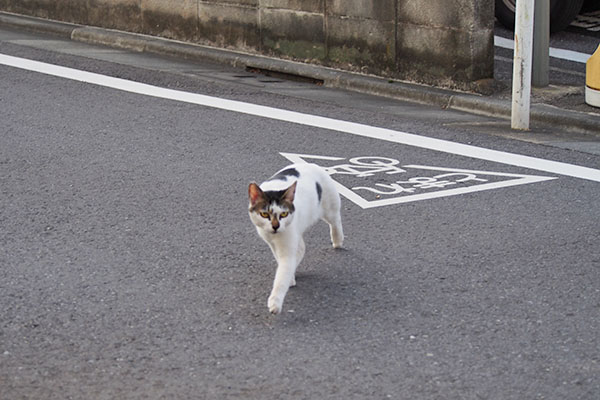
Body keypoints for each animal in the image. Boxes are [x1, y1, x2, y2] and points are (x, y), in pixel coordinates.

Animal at [247, 164, 342, 314]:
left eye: (284, 214)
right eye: (264, 214)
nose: (275, 226)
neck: (274, 236)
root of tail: (313, 164)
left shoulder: (287, 244)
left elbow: (281, 276)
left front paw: (275, 303)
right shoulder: (273, 243)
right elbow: (283, 264)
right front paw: (291, 277)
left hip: (330, 207)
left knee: (335, 221)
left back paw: (338, 240)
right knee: (302, 248)